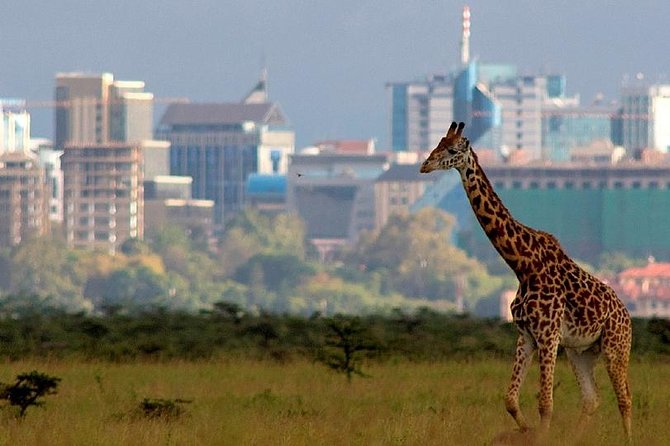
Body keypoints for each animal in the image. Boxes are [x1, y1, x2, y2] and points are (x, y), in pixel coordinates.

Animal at [420, 121, 636, 440]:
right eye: (438, 143)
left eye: (451, 150)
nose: (425, 165)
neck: (523, 265)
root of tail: (627, 316)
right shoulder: (526, 335)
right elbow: (510, 399)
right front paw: (527, 431)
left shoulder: (548, 335)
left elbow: (545, 402)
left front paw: (539, 435)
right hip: (580, 352)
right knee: (591, 399)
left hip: (615, 347)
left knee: (624, 398)